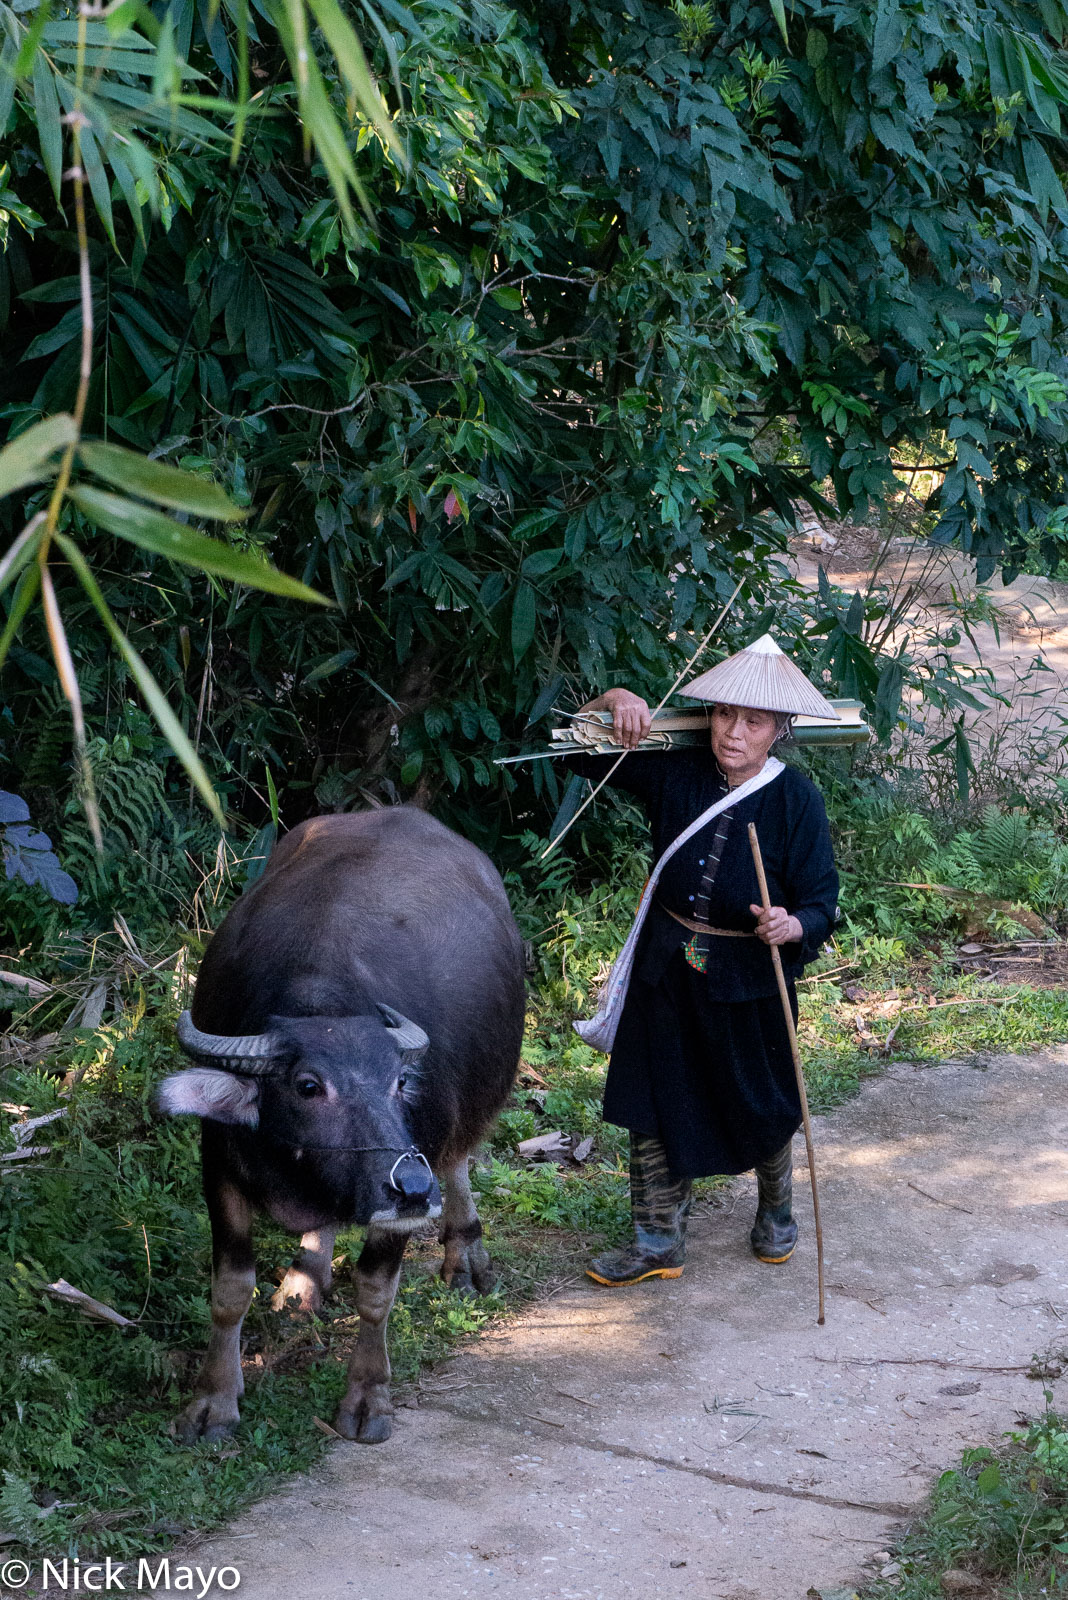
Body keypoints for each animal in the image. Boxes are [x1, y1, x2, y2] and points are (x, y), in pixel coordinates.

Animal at [156, 806, 524, 1446]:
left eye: (399, 1081)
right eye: (308, 1086)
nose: (412, 1187)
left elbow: (375, 1292)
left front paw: (368, 1395)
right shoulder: (219, 1168)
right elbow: (229, 1290)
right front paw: (213, 1400)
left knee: (458, 1161)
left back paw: (465, 1255)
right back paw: (306, 1278)